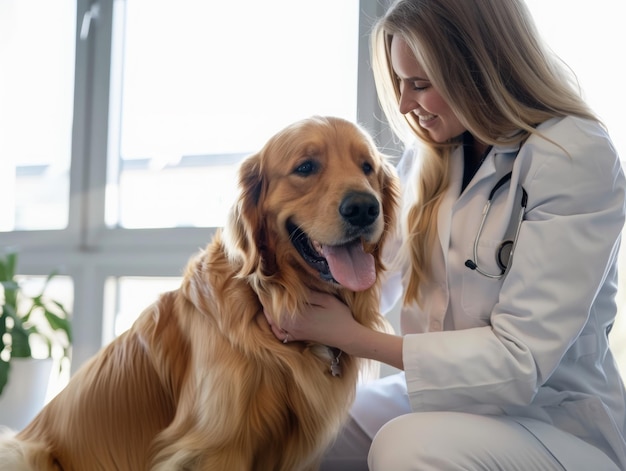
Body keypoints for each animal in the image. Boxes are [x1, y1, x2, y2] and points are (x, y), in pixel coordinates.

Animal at [0, 115, 398, 471]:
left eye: (367, 167)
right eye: (305, 167)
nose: (364, 208)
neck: (266, 297)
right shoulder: (214, 445)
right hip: (23, 452)